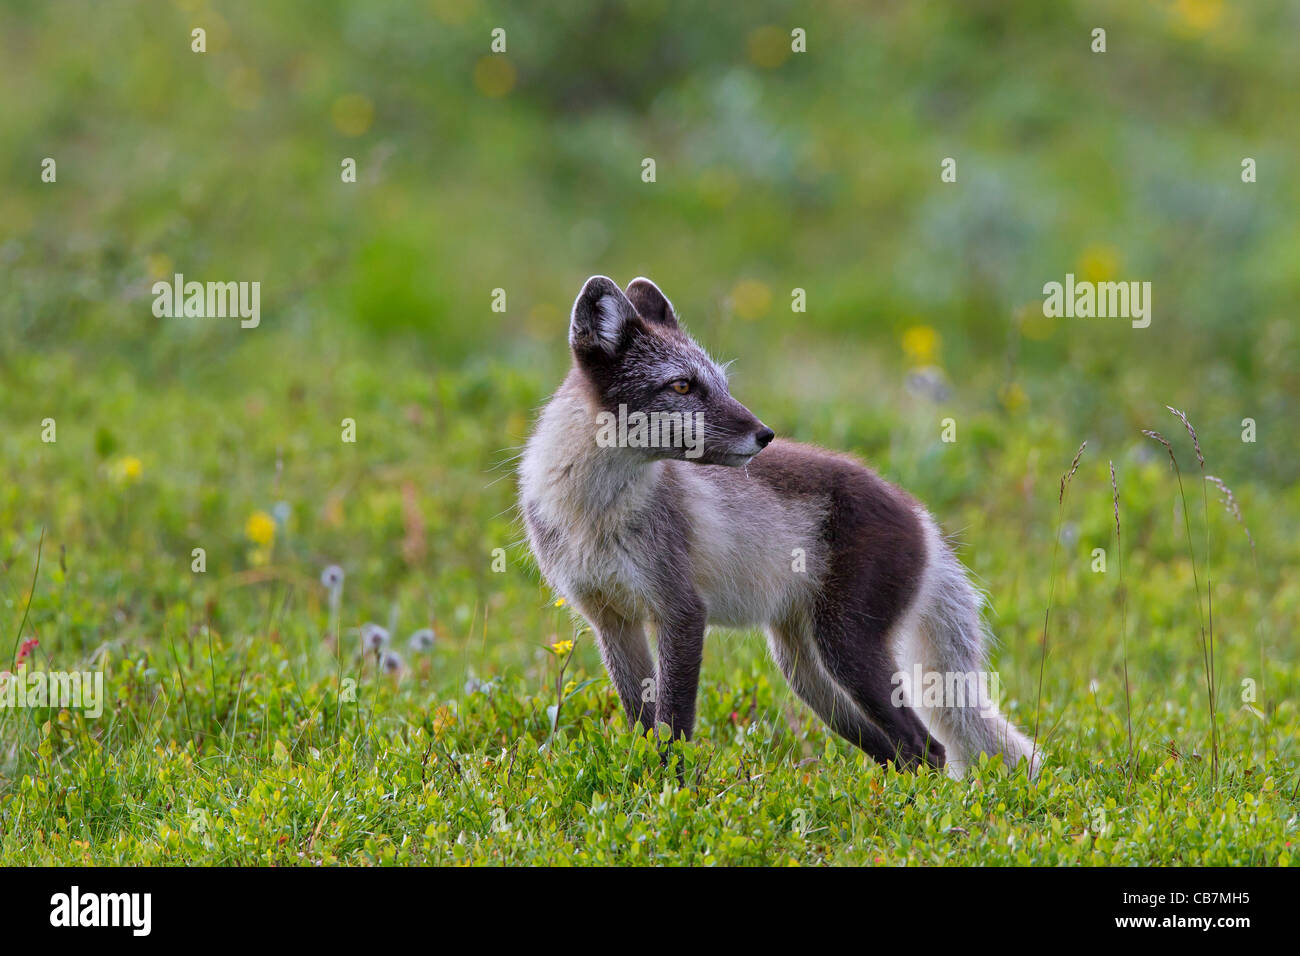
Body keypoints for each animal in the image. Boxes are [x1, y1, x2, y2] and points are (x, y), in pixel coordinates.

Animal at [517, 277, 1034, 780]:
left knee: (928, 747)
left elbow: (674, 726)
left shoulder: (682, 611)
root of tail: (920, 513)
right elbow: (645, 727)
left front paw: (674, 792)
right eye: (682, 386)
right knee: (893, 749)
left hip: (845, 648)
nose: (765, 434)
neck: (592, 513)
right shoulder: (611, 620)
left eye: (722, 384)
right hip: (807, 673)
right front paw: (648, 785)